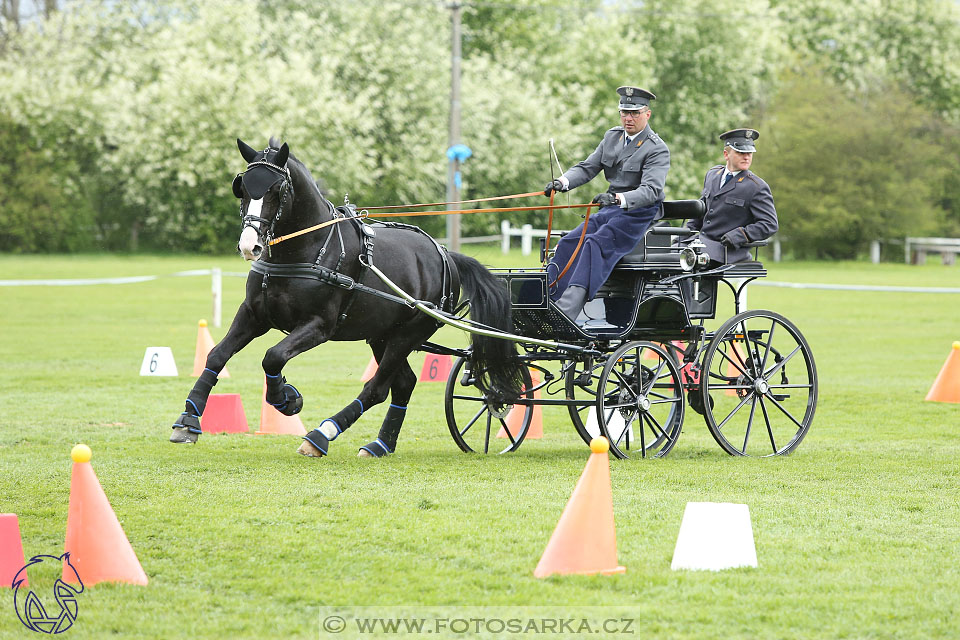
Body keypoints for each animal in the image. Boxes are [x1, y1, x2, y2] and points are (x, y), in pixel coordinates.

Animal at [169, 140, 520, 458]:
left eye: (276, 190)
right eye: (241, 188)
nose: (249, 245)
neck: (304, 250)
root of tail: (446, 254)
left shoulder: (319, 326)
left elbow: (273, 356)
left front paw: (286, 398)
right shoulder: (254, 314)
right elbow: (216, 355)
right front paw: (188, 420)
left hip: (409, 333)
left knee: (377, 388)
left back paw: (321, 435)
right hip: (382, 335)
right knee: (403, 383)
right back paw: (380, 445)